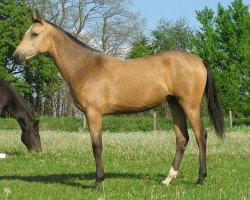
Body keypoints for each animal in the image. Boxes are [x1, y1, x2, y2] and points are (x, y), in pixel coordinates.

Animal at [13, 11, 225, 189]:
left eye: (34, 34)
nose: (16, 56)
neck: (85, 67)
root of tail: (200, 60)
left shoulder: (93, 113)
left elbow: (96, 146)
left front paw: (97, 182)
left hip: (189, 105)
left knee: (201, 135)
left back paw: (200, 179)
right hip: (175, 104)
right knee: (182, 139)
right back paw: (168, 179)